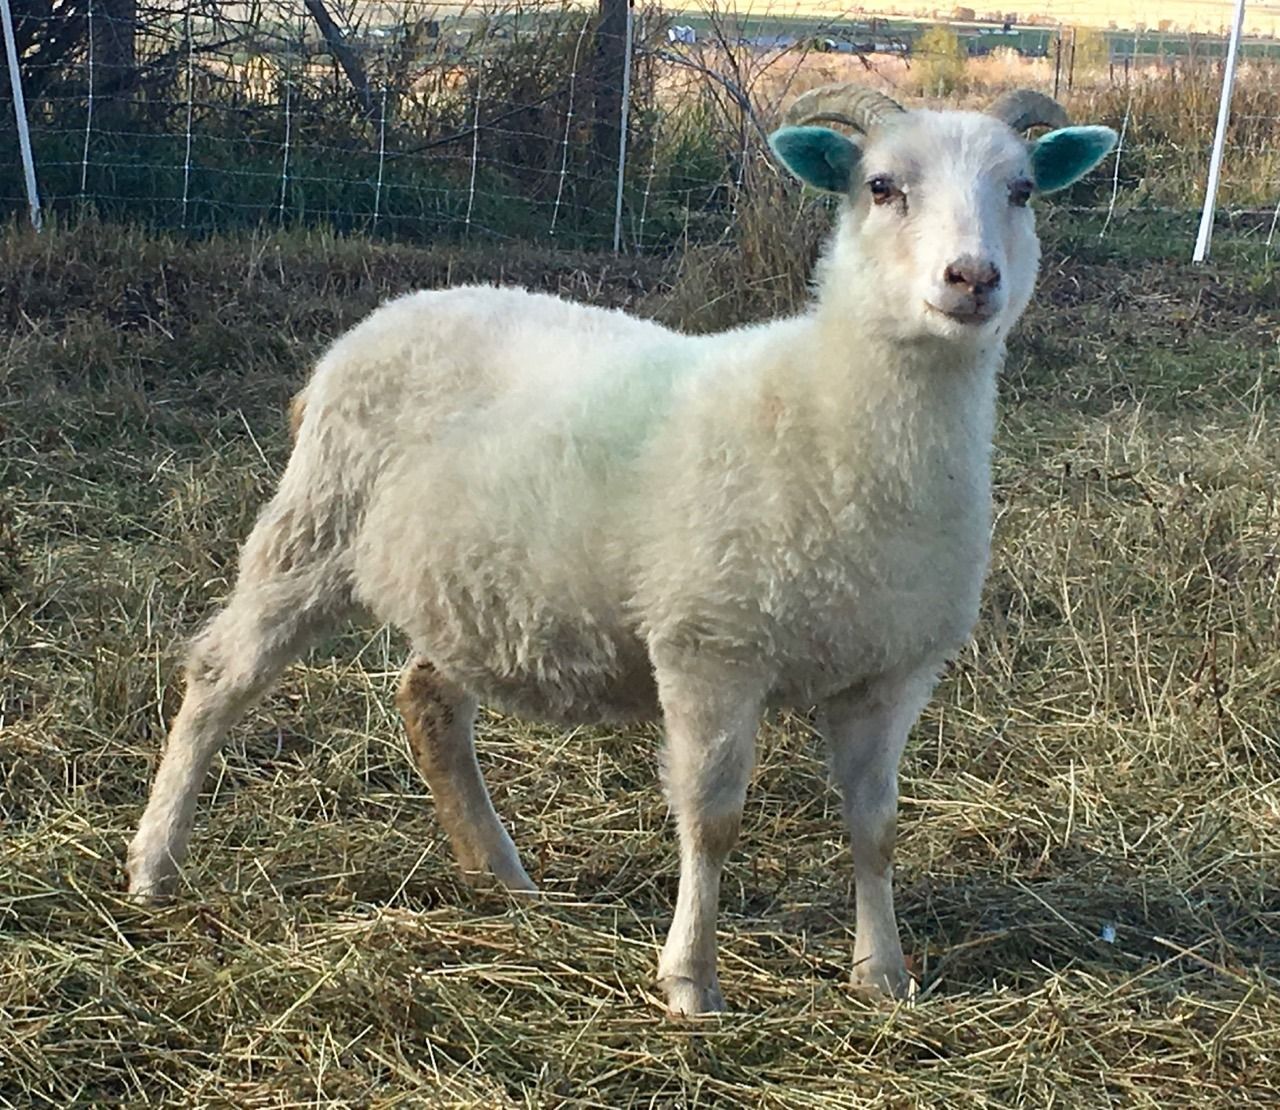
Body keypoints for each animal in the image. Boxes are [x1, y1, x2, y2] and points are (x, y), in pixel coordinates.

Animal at [126, 85, 1117, 1015]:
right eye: (881, 186)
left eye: (1022, 191)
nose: (972, 277)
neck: (831, 412)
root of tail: (373, 326)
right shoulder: (709, 649)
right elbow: (712, 822)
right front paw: (691, 983)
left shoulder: (892, 672)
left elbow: (875, 828)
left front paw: (883, 976)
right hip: (314, 525)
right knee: (219, 674)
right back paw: (153, 865)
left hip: (473, 584)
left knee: (428, 702)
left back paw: (503, 878)